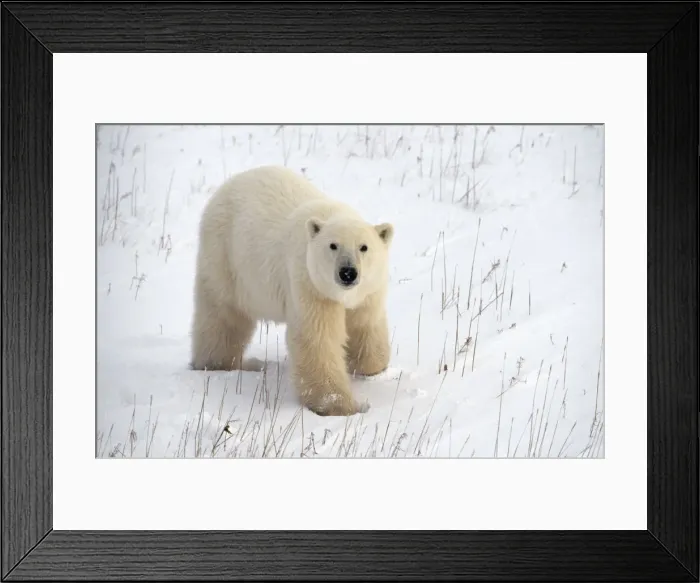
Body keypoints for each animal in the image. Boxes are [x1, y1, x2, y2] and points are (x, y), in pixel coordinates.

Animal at [190, 165, 394, 417]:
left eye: (363, 247)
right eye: (333, 245)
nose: (348, 272)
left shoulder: (368, 292)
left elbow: (366, 325)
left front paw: (368, 366)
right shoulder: (310, 285)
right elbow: (317, 339)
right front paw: (339, 405)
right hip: (225, 257)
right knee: (222, 315)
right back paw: (227, 363)